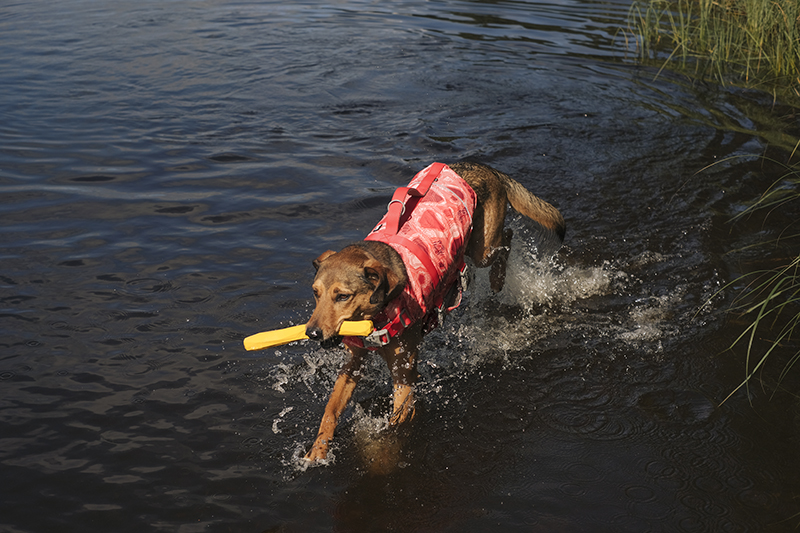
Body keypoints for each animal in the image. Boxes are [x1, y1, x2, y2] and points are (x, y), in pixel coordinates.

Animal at [304, 162, 564, 462]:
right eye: (315, 292)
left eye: (343, 296)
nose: (311, 333)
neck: (378, 316)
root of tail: (481, 166)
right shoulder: (354, 363)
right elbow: (331, 410)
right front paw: (317, 450)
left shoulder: (403, 374)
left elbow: (395, 423)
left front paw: (376, 448)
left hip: (482, 248)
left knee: (506, 239)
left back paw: (498, 278)